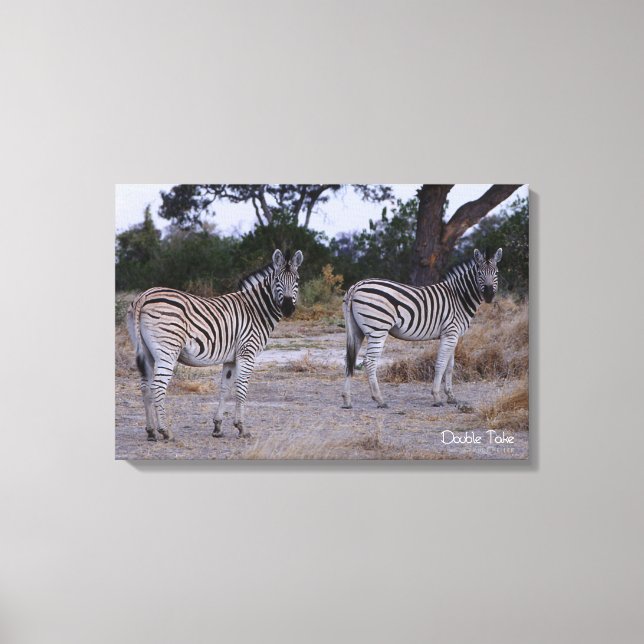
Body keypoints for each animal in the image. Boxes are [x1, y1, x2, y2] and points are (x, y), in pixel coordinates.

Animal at [126, 249, 303, 441]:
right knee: (158, 387)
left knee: (145, 387)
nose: (288, 308)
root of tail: (144, 295)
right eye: (277, 280)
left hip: (146, 352)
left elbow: (225, 388)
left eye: (297, 280)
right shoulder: (247, 352)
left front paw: (218, 427)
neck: (256, 310)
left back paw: (151, 431)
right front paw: (242, 428)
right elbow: (242, 388)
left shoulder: (231, 358)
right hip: (167, 351)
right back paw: (165, 431)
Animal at [342, 248, 502, 409]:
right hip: (378, 329)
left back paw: (347, 400)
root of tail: (357, 285)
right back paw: (379, 399)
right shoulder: (450, 333)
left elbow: (450, 366)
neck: (459, 298)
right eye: (479, 273)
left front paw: (451, 396)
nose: (489, 295)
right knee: (369, 361)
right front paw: (437, 397)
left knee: (350, 359)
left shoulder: (453, 335)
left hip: (357, 331)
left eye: (496, 272)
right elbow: (441, 364)